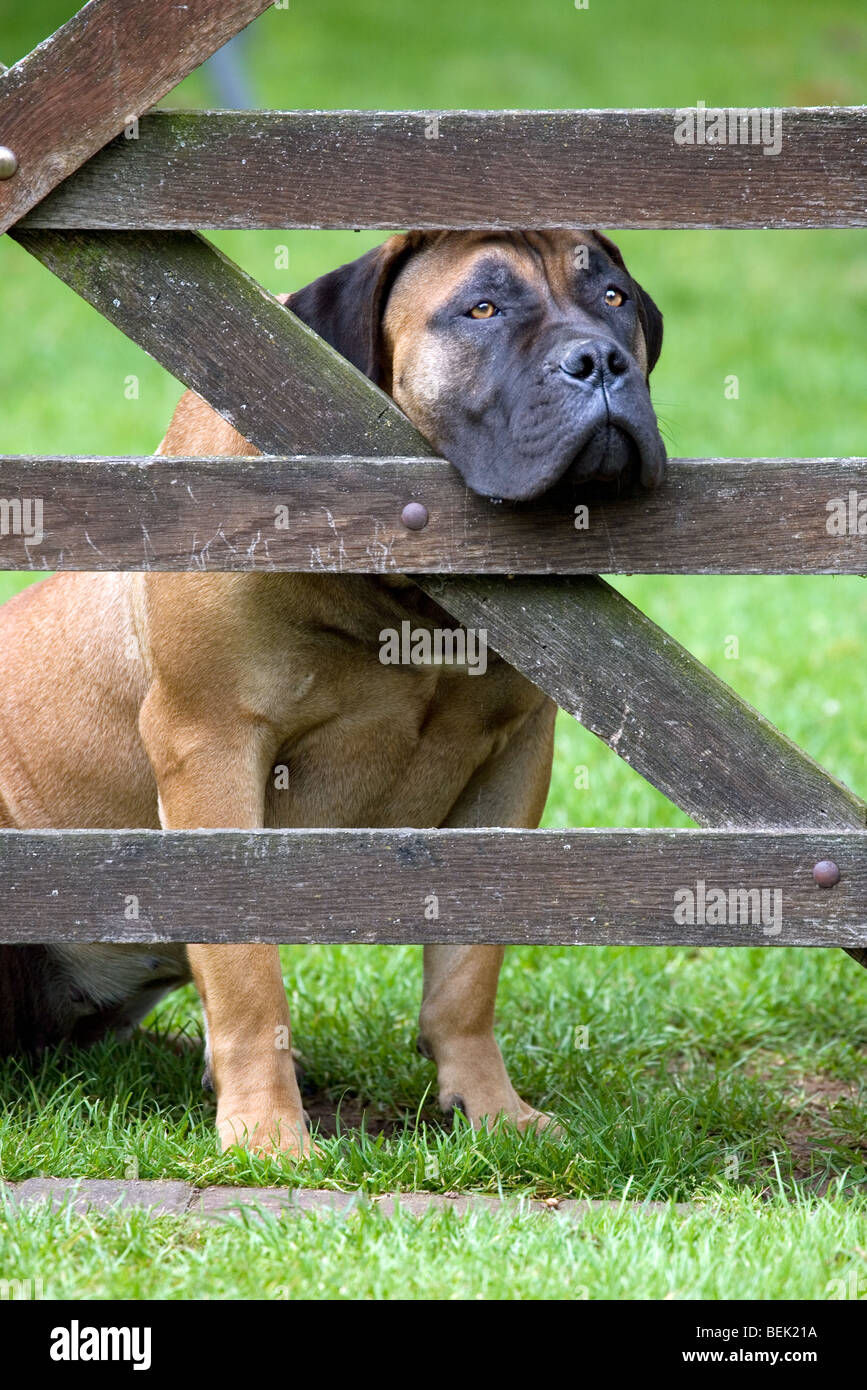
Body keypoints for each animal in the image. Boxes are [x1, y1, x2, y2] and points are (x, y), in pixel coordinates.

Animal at [0, 230, 664, 1162]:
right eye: (481, 309)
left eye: (611, 297)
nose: (599, 359)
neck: (405, 598)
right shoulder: (212, 749)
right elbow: (247, 974)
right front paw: (267, 1134)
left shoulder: (511, 763)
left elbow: (467, 970)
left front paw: (492, 1110)